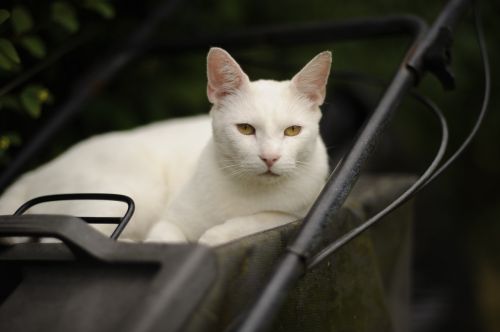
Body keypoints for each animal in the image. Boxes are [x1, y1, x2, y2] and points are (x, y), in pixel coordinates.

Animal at [0, 48, 332, 245]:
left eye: (292, 131)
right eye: (246, 129)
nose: (269, 158)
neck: (250, 192)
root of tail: (34, 174)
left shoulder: (307, 204)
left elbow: (273, 218)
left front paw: (217, 234)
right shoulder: (168, 223)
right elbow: (165, 244)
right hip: (131, 193)